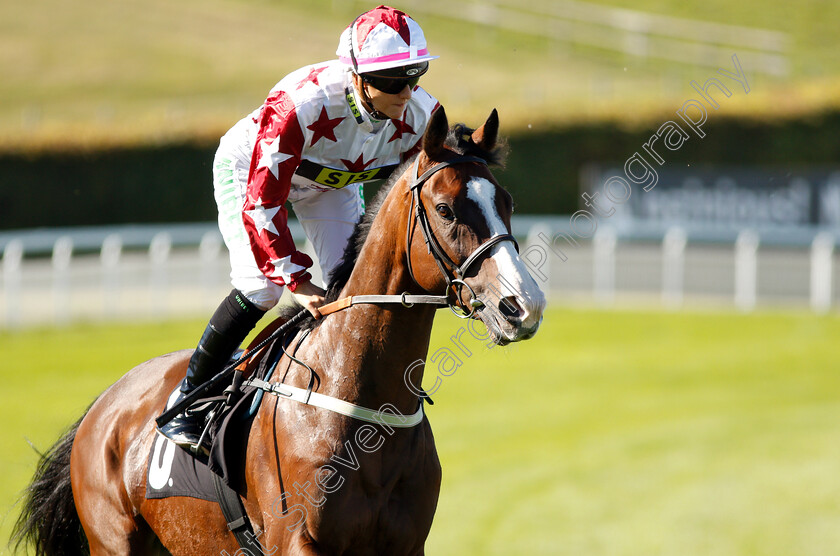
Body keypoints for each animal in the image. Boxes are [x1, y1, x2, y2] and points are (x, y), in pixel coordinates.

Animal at [16, 108, 548, 556]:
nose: (522, 306)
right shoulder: (296, 541)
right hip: (112, 541)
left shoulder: (405, 544)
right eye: (446, 209)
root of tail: (102, 407)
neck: (357, 401)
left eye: (507, 202)